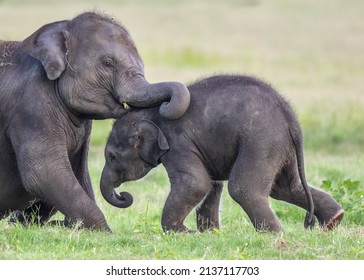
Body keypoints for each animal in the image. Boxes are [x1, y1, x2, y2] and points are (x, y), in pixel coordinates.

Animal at [0, 12, 192, 231]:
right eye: (108, 63)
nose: (123, 195)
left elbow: (79, 174)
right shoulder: (31, 106)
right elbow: (44, 173)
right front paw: (105, 232)